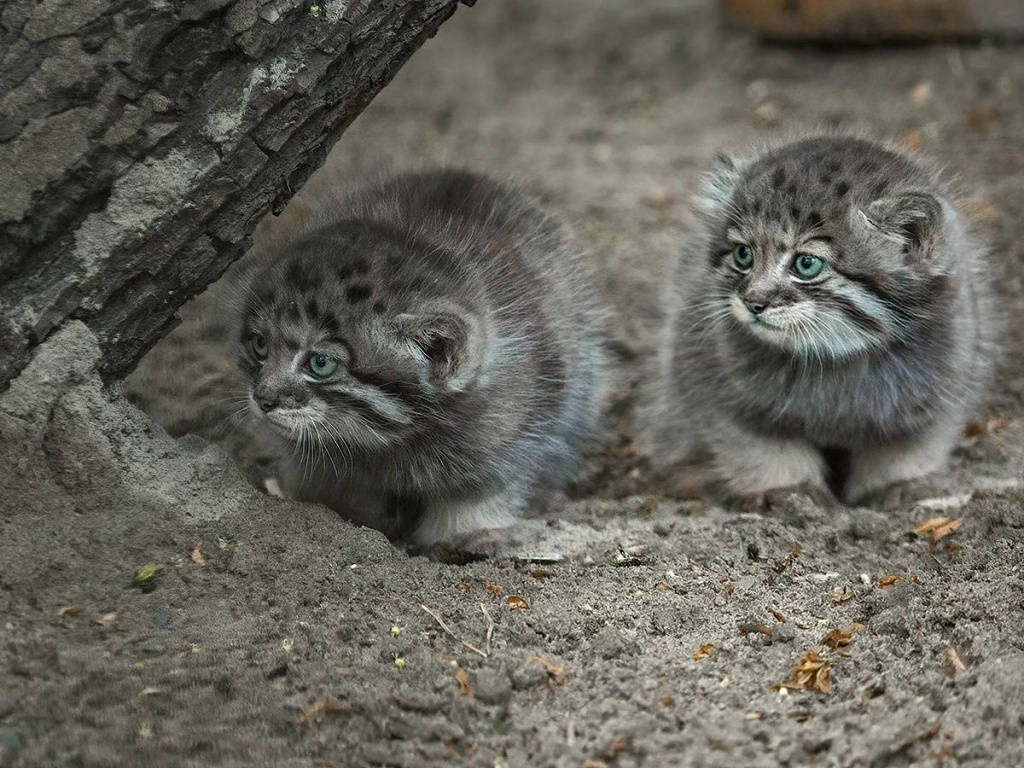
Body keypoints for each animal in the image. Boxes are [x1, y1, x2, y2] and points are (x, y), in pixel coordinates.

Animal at [230, 171, 606, 557]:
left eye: (320, 363)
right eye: (260, 345)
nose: (263, 399)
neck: (394, 443)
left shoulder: (514, 432)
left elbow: (482, 489)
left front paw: (467, 533)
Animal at [655, 135, 999, 507]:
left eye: (806, 264)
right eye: (743, 254)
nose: (753, 302)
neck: (833, 359)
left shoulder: (941, 388)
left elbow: (908, 445)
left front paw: (901, 484)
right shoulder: (719, 390)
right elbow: (759, 449)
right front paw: (785, 491)